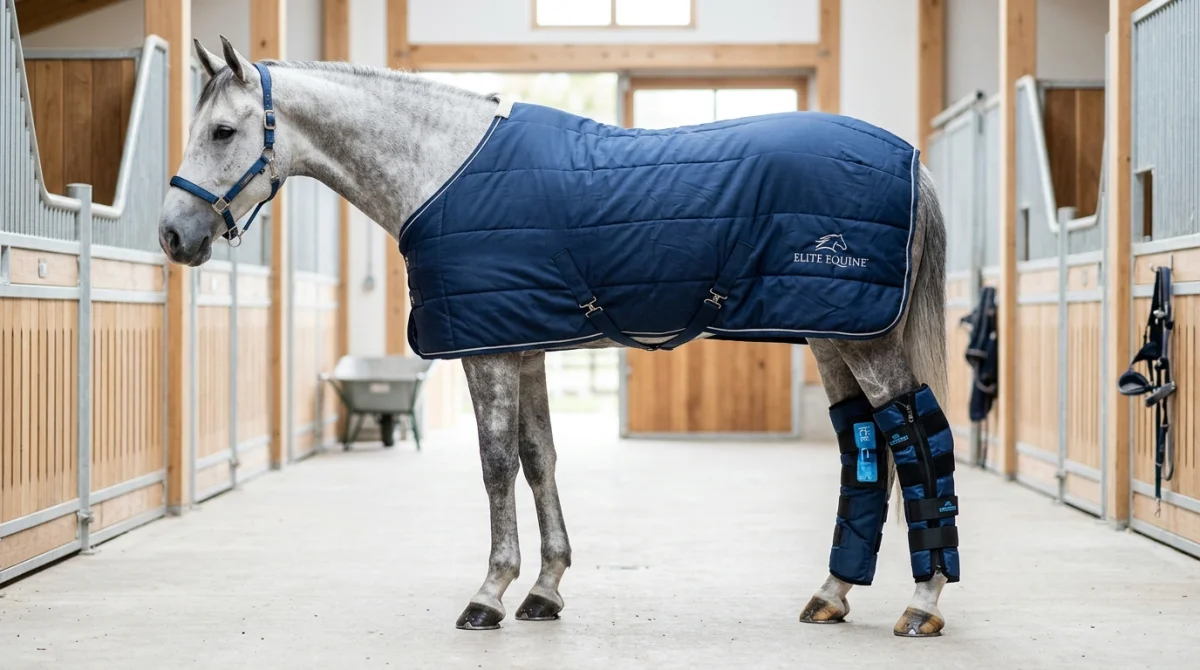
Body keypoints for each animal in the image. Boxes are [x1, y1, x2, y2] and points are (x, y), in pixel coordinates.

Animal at [159, 37, 960, 638]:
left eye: (223, 131)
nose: (172, 236)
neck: (444, 168)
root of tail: (912, 161)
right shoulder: (526, 347)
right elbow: (539, 459)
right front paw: (545, 590)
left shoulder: (488, 354)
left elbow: (495, 466)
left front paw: (489, 594)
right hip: (834, 337)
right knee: (863, 443)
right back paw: (831, 594)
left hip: (868, 343)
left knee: (917, 443)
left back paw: (923, 604)